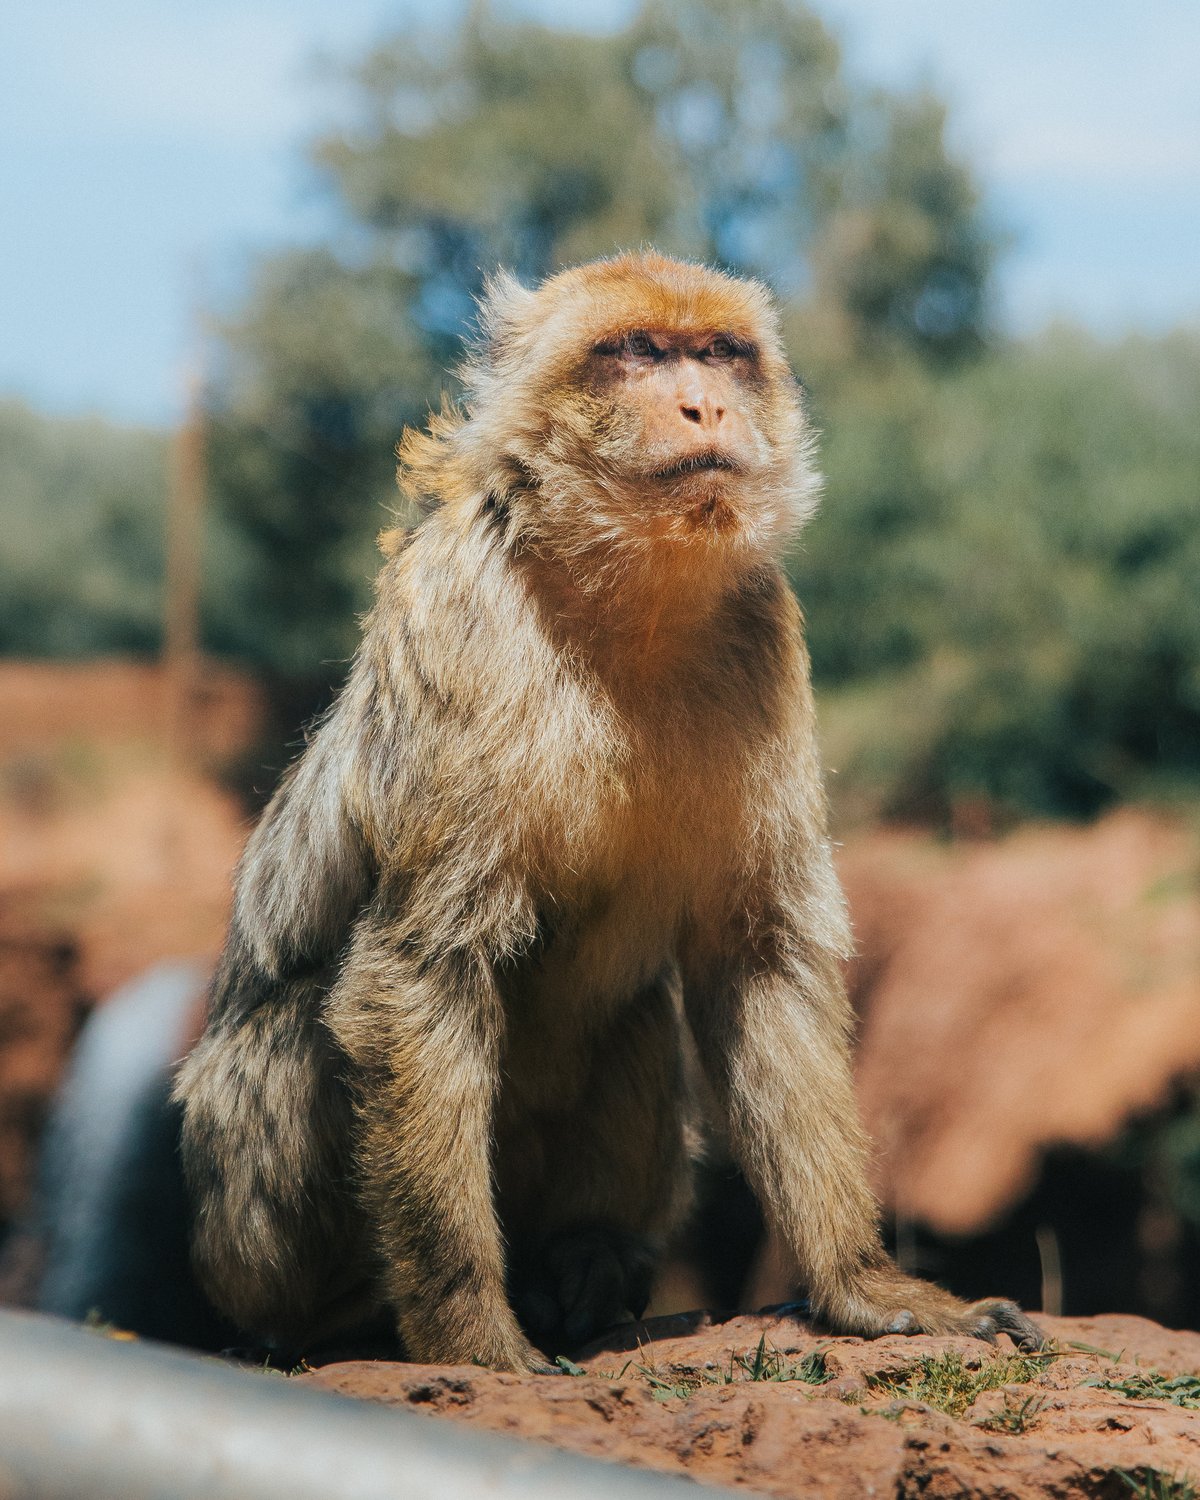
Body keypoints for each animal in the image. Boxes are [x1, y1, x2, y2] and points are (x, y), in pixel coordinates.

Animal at [171, 249, 1038, 1374]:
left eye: (717, 351)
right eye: (636, 352)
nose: (703, 402)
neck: (631, 597)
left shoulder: (765, 632)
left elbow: (758, 957)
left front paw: (861, 1284)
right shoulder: (463, 617)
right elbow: (417, 970)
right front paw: (469, 1331)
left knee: (635, 1017)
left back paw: (586, 1263)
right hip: (244, 1224)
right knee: (308, 1027)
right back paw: (355, 1317)